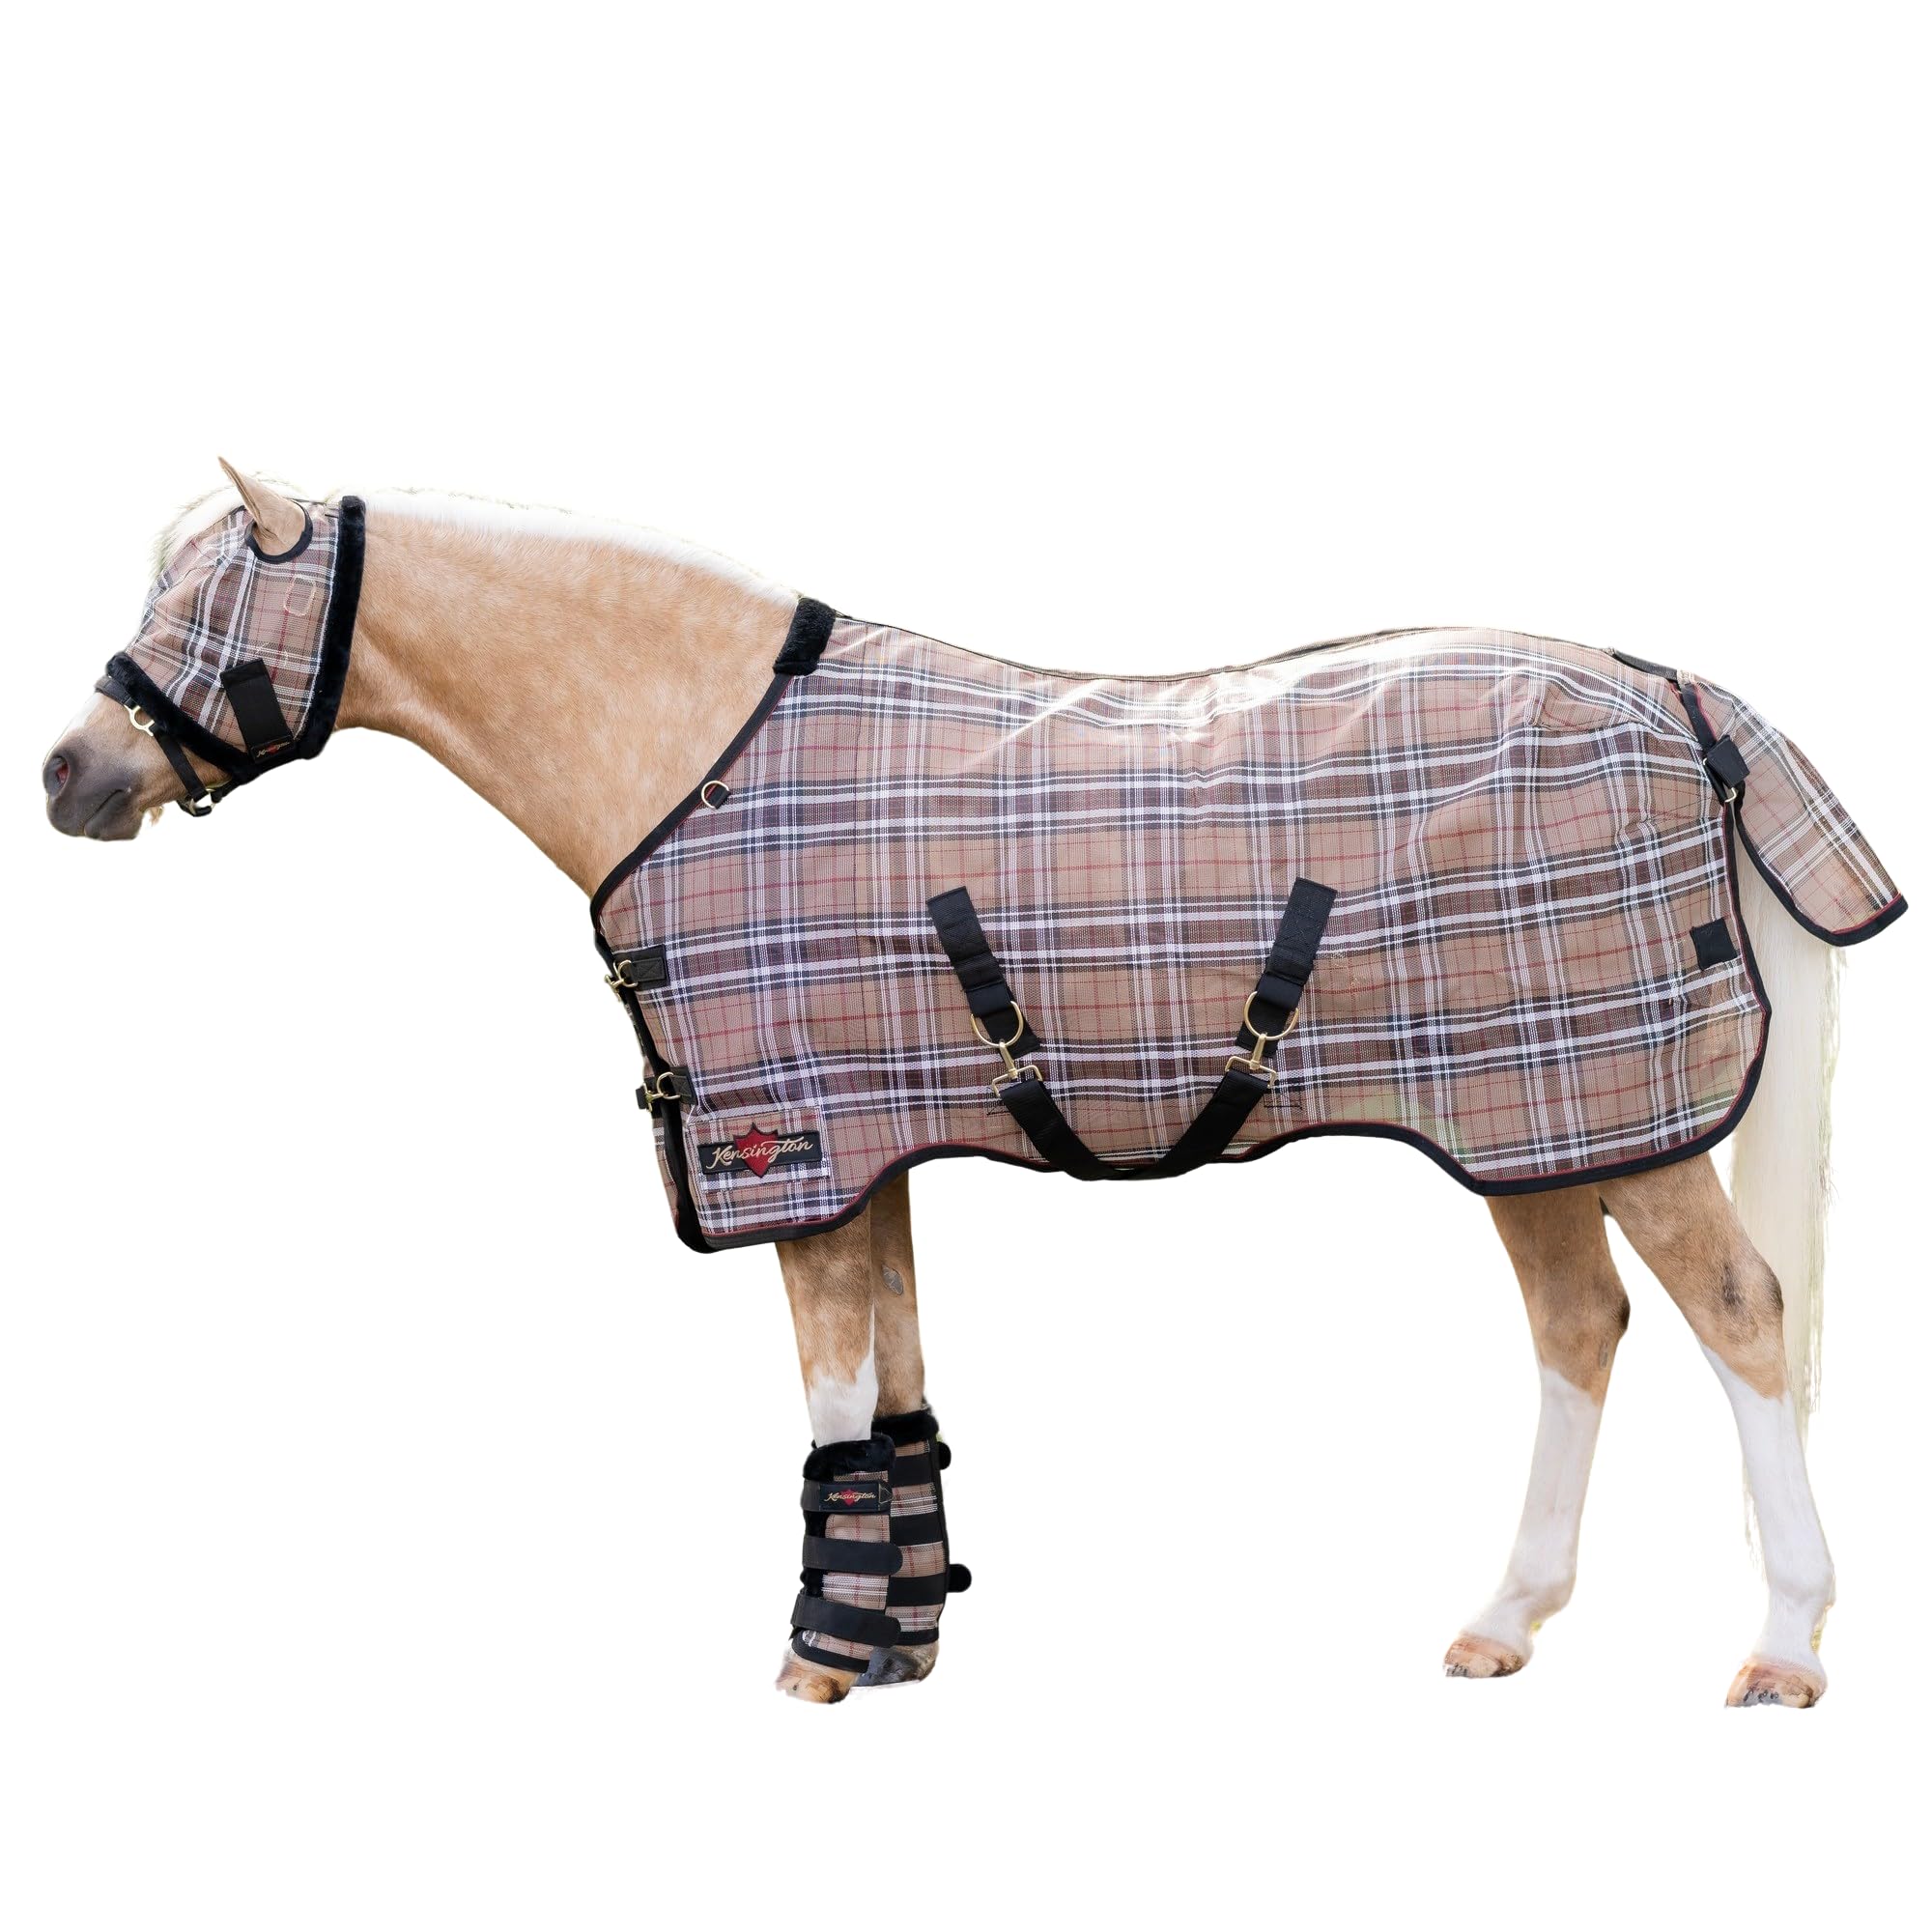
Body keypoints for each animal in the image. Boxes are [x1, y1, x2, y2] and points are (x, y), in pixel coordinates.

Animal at [42, 463, 1905, 1707]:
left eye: (204, 608)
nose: (70, 773)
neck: (700, 760)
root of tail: (1675, 693)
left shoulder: (790, 1154)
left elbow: (828, 1410)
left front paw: (816, 1662)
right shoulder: (869, 1157)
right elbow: (897, 1402)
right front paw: (898, 1641)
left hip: (1618, 1124)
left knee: (1741, 1316)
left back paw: (1784, 1645)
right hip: (1536, 1125)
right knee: (1581, 1328)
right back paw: (1506, 1621)